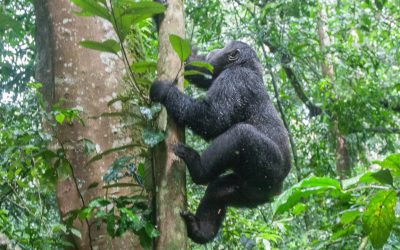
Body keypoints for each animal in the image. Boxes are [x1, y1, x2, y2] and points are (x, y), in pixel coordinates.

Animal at [150, 41, 290, 244]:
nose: (215, 50)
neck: (246, 66)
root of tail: (277, 191)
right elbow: (200, 69)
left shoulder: (235, 79)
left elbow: (212, 117)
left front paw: (164, 91)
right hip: (248, 192)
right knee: (218, 191)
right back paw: (200, 229)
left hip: (269, 167)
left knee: (241, 135)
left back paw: (198, 167)